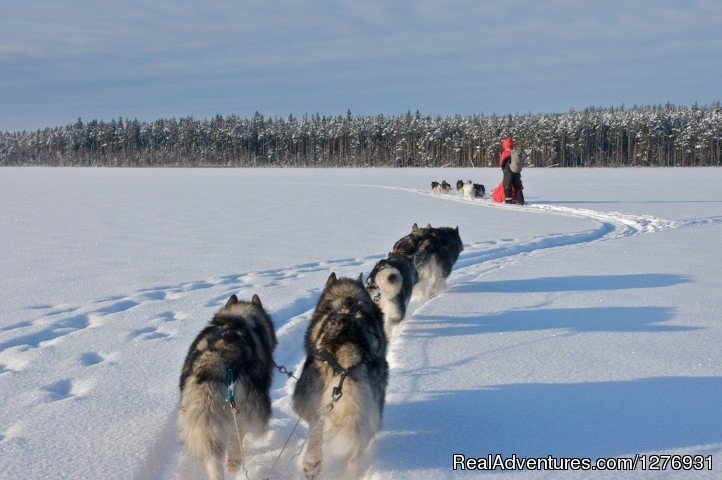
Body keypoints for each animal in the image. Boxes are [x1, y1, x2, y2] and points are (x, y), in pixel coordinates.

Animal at [177, 292, 276, 480]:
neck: (238, 317)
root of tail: (214, 362)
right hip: (248, 408)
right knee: (239, 434)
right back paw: (234, 461)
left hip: (204, 425)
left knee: (214, 460)